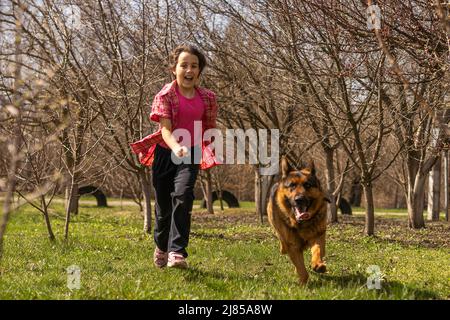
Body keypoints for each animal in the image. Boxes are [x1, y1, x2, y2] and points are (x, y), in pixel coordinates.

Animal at [268, 156, 330, 284]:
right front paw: (303, 282)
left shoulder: (318, 236)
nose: (299, 199)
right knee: (282, 241)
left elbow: (317, 250)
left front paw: (318, 264)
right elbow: (300, 267)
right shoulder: (293, 246)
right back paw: (283, 249)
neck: (301, 223)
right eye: (292, 185)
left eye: (307, 185)